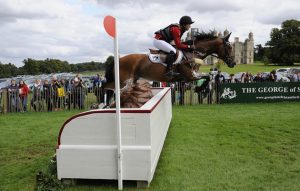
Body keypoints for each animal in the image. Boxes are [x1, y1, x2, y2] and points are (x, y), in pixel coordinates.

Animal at [102, 31, 236, 103]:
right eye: (229, 47)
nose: (233, 63)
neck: (194, 52)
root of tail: (118, 60)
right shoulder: (190, 76)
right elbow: (207, 77)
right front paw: (199, 89)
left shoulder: (191, 76)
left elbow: (209, 77)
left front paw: (199, 89)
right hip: (122, 81)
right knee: (108, 88)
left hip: (131, 80)